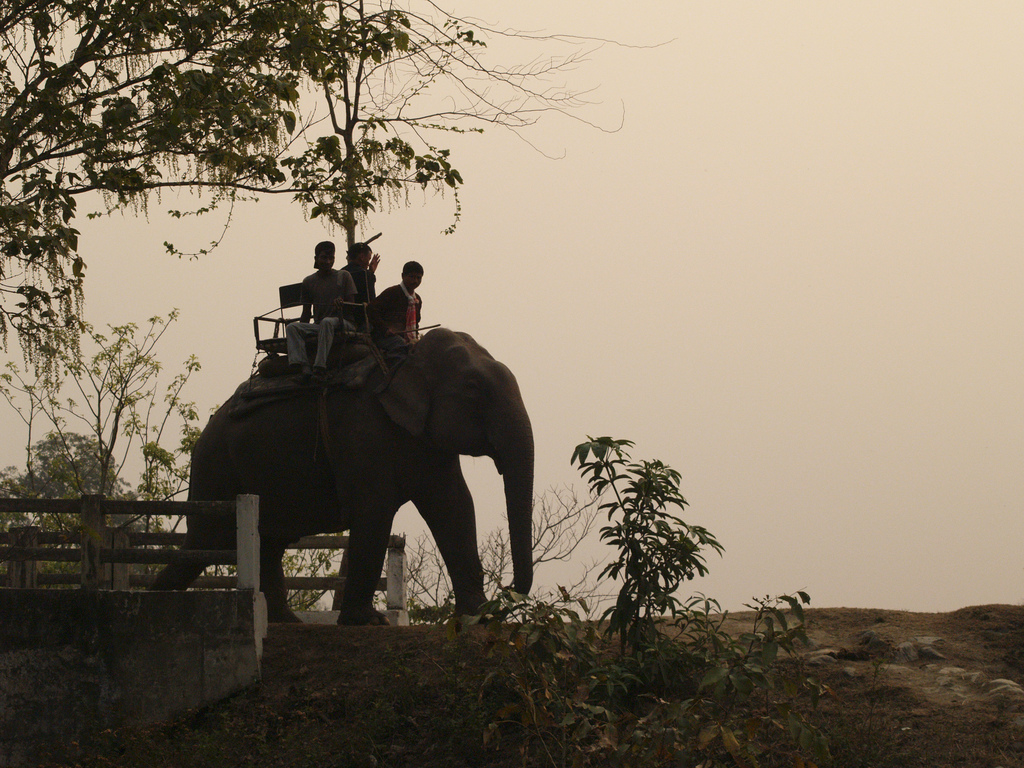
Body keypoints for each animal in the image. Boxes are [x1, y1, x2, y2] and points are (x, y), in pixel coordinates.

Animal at [153, 329, 536, 626]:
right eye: (473, 389)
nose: (506, 592)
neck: (407, 359)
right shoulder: (362, 428)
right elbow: (375, 510)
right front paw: (368, 622)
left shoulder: (424, 438)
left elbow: (453, 506)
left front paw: (478, 618)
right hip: (217, 465)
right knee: (206, 541)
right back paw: (154, 602)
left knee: (267, 543)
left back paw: (286, 620)